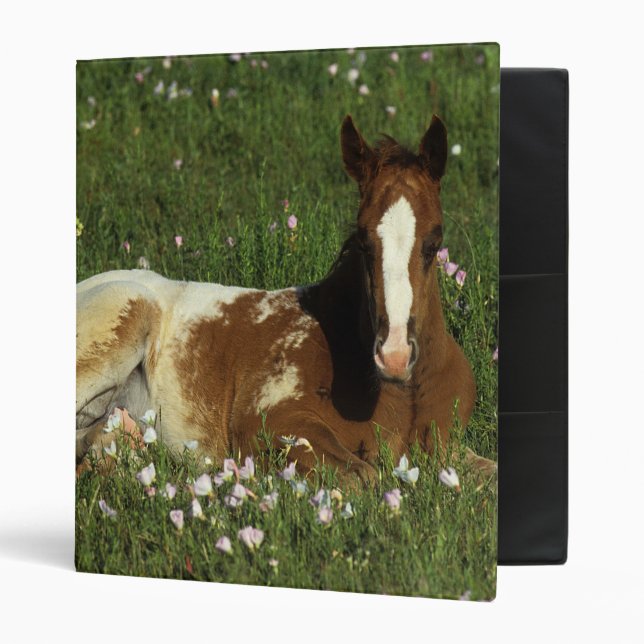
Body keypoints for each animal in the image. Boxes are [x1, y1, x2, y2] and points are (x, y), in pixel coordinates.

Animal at [76, 114, 495, 483]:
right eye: (363, 241)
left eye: (434, 242)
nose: (394, 355)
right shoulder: (266, 421)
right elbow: (362, 477)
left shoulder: (449, 448)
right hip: (125, 315)